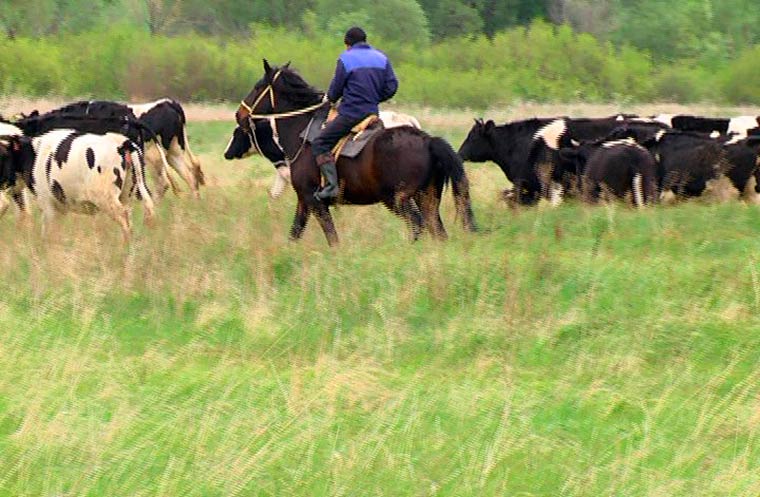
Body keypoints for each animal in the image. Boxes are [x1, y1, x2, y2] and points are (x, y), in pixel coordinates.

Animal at [0, 130, 156, 242]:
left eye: (3, 155)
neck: (34, 154)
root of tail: (121, 141)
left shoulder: (48, 203)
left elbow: (48, 234)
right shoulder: (59, 207)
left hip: (106, 198)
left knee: (123, 217)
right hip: (126, 195)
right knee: (129, 217)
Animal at [238, 60, 476, 246]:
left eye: (257, 86)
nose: (240, 114)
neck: (302, 132)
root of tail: (428, 140)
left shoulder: (312, 200)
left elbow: (331, 237)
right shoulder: (304, 201)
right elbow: (294, 234)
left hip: (397, 199)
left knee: (418, 224)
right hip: (427, 197)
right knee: (437, 231)